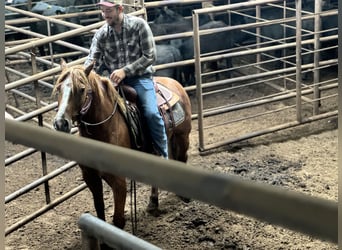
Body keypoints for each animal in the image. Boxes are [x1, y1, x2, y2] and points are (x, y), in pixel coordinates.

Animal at [52, 58, 194, 230]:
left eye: (81, 89)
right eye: (58, 88)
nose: (61, 123)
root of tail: (175, 83)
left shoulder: (118, 181)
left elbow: (118, 220)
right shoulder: (91, 177)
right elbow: (100, 213)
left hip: (182, 137)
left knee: (182, 158)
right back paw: (153, 203)